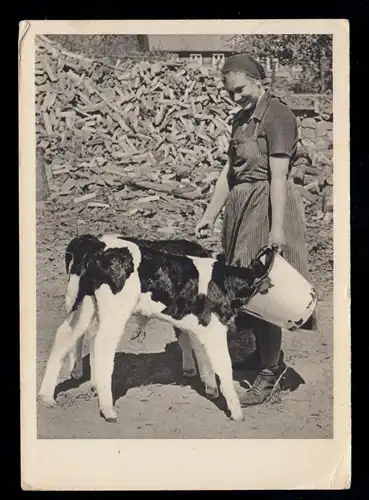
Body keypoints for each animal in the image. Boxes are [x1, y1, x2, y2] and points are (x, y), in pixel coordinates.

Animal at [38, 234, 268, 422]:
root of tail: (99, 244)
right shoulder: (214, 328)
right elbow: (223, 365)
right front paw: (236, 411)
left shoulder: (197, 324)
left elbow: (198, 349)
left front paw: (209, 386)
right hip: (113, 311)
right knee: (100, 345)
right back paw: (107, 409)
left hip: (84, 302)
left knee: (66, 334)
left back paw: (47, 396)